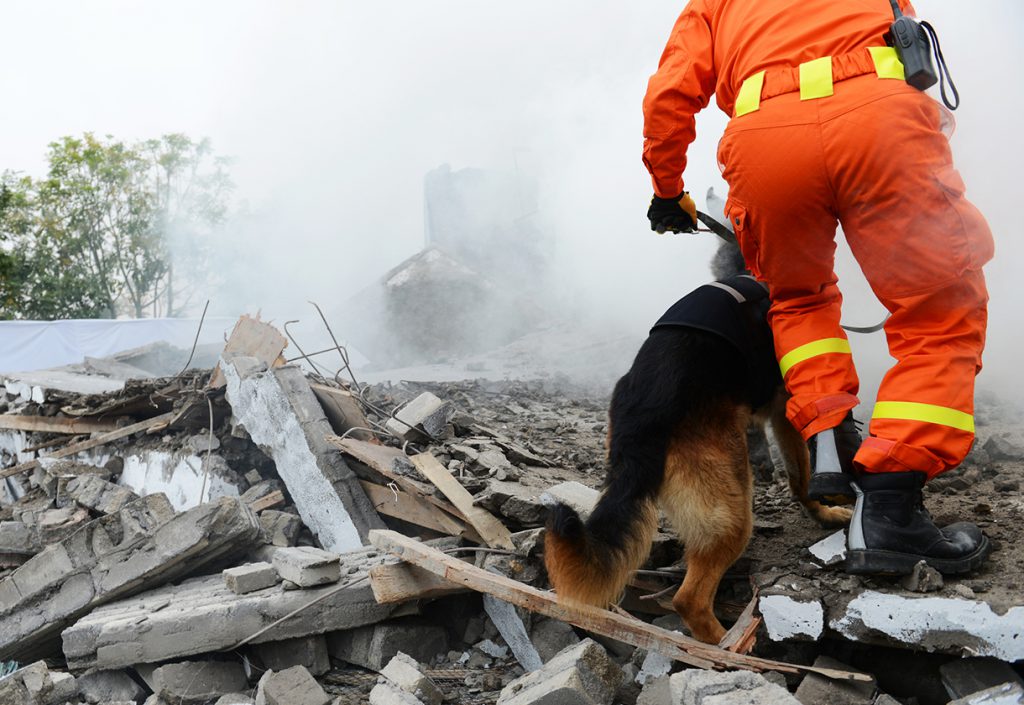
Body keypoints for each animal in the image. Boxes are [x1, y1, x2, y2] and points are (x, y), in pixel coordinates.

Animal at [548, 240, 851, 643]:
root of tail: (641, 415)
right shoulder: (786, 407)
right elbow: (802, 474)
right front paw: (824, 510)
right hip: (731, 511)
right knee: (689, 599)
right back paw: (729, 645)